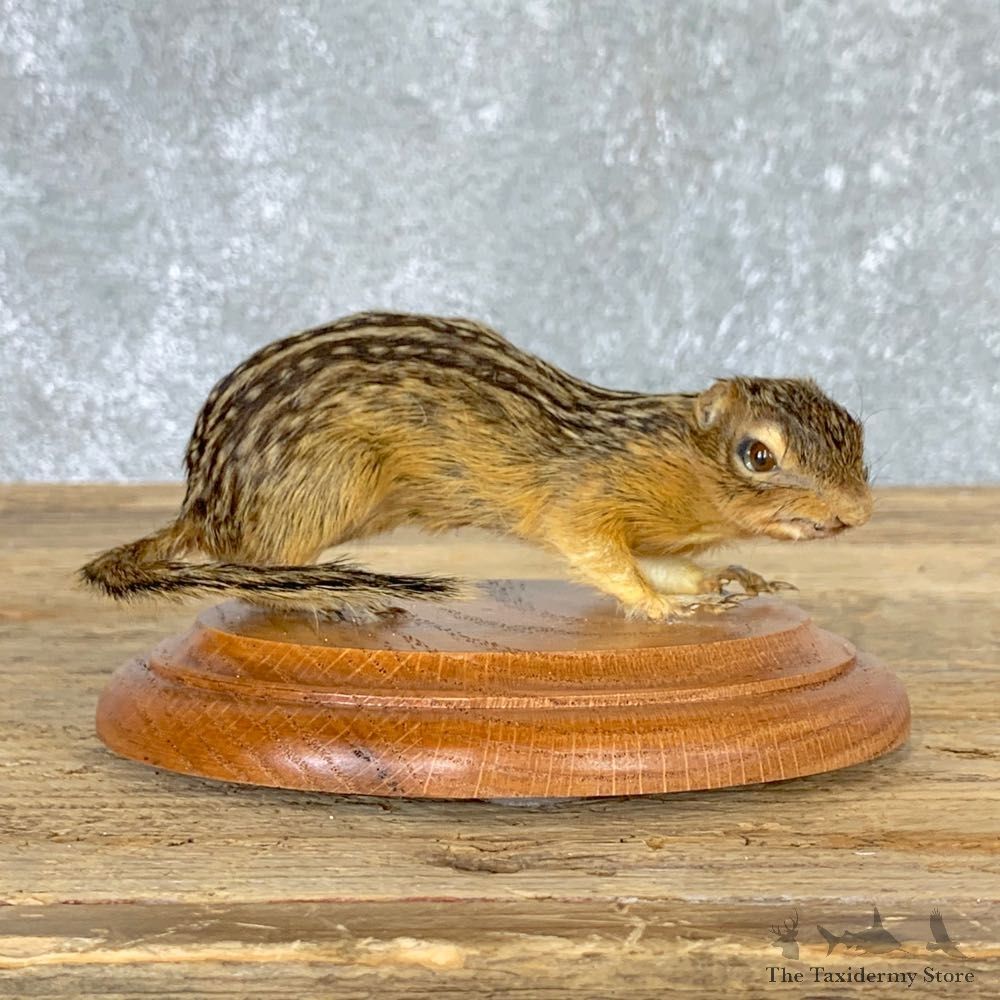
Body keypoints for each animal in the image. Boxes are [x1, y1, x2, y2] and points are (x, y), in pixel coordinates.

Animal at [80, 311, 873, 620]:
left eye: (859, 432)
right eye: (758, 454)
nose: (859, 513)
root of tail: (198, 505)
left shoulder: (653, 533)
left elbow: (666, 564)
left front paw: (727, 580)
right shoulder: (583, 506)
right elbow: (603, 561)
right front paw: (661, 608)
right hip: (319, 494)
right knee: (259, 575)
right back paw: (340, 598)